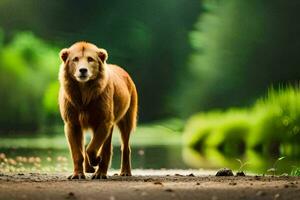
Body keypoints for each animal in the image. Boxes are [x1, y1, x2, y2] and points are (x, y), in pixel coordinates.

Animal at [58, 41, 138, 179]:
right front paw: (78, 174)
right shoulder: (72, 123)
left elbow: (92, 148)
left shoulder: (104, 121)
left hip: (125, 119)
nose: (83, 70)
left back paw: (119, 172)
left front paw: (96, 160)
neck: (84, 92)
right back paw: (91, 168)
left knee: (124, 146)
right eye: (75, 59)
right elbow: (77, 152)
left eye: (90, 59)